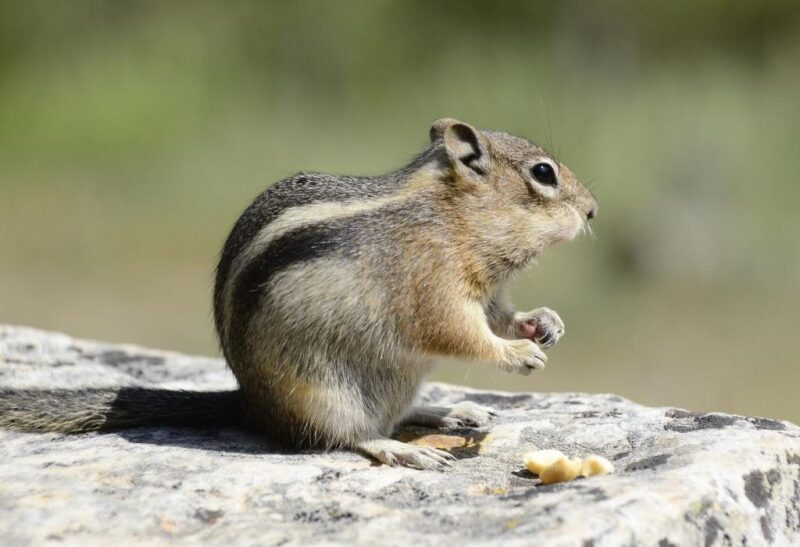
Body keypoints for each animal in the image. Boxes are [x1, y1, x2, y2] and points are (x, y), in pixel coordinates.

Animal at [0, 119, 592, 470]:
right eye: (543, 173)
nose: (592, 211)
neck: (452, 219)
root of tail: (252, 405)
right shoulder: (432, 286)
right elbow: (457, 332)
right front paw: (518, 354)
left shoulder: (488, 291)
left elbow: (501, 315)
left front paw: (545, 323)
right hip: (324, 395)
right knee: (344, 436)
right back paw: (401, 449)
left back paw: (446, 412)